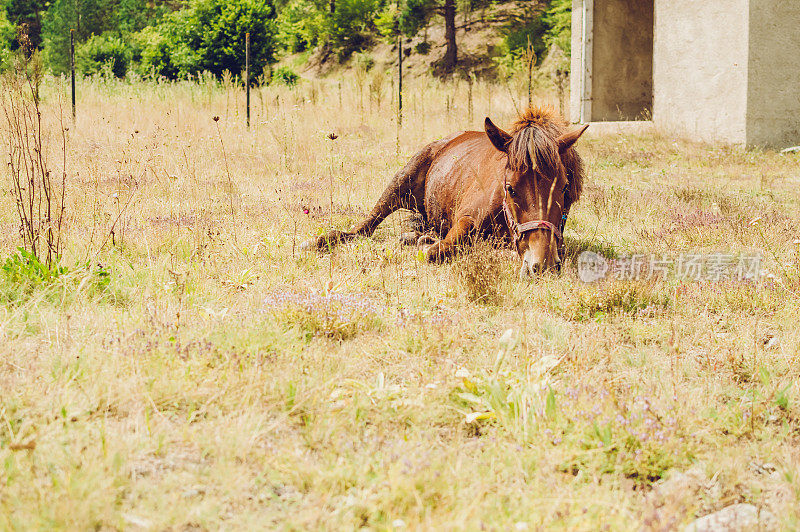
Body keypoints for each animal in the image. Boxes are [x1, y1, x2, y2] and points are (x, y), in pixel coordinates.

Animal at [306, 105, 588, 278]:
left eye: (564, 188)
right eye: (510, 188)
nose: (542, 265)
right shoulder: (465, 220)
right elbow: (438, 251)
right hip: (400, 182)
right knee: (366, 226)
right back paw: (323, 239)